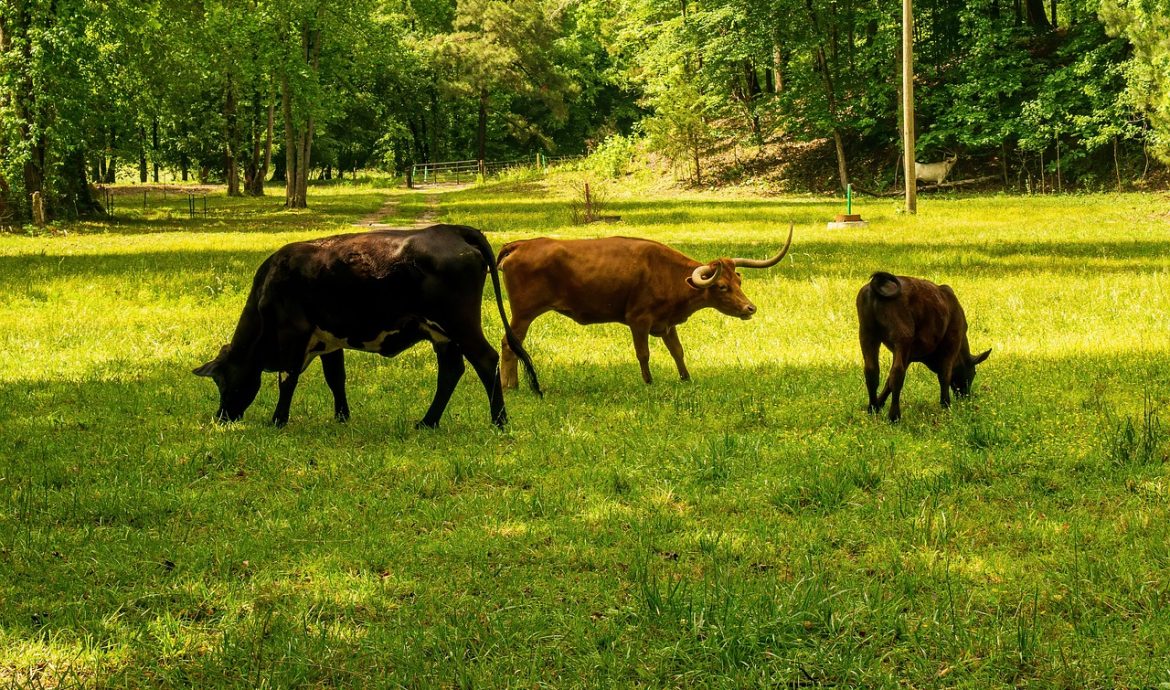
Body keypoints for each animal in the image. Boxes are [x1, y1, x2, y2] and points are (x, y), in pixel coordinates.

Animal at [191, 224, 538, 430]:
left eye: (223, 381)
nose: (221, 417)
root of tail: (449, 229)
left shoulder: (294, 333)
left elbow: (287, 380)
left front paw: (278, 420)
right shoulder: (328, 340)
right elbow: (336, 379)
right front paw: (342, 417)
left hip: (460, 323)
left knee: (485, 360)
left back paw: (499, 421)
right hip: (442, 334)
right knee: (451, 371)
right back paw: (428, 422)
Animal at [493, 224, 795, 385]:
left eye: (739, 281)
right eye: (722, 286)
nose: (750, 308)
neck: (667, 273)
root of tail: (522, 244)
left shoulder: (667, 323)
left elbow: (678, 352)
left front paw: (686, 378)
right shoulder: (638, 320)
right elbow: (643, 353)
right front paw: (648, 381)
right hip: (523, 314)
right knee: (509, 344)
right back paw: (510, 386)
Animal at [856, 273, 992, 425]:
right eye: (973, 373)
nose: (966, 397)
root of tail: (880, 282)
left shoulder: (909, 355)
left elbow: (888, 382)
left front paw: (879, 405)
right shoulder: (952, 343)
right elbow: (945, 376)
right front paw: (946, 406)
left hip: (867, 333)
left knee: (872, 371)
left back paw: (872, 408)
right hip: (902, 336)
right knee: (897, 373)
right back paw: (894, 416)